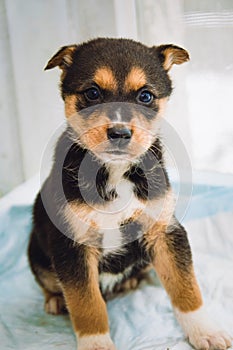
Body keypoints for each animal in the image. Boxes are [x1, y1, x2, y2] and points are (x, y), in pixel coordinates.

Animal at [27, 38, 231, 350]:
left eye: (145, 96)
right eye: (93, 93)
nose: (120, 133)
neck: (115, 172)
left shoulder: (164, 230)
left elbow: (186, 288)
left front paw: (206, 332)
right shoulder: (72, 245)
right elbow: (87, 305)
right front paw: (97, 345)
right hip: (36, 255)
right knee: (50, 284)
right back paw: (55, 301)